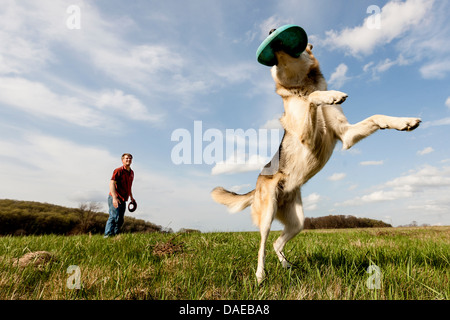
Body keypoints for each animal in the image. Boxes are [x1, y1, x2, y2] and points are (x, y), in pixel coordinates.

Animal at [211, 35, 422, 284]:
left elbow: (376, 116)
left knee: (276, 243)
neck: (301, 87)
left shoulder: (346, 135)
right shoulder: (307, 136)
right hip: (268, 212)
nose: (273, 32)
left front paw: (404, 121)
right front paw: (330, 96)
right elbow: (314, 98)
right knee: (262, 245)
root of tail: (258, 182)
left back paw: (287, 266)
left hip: (297, 222)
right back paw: (260, 275)